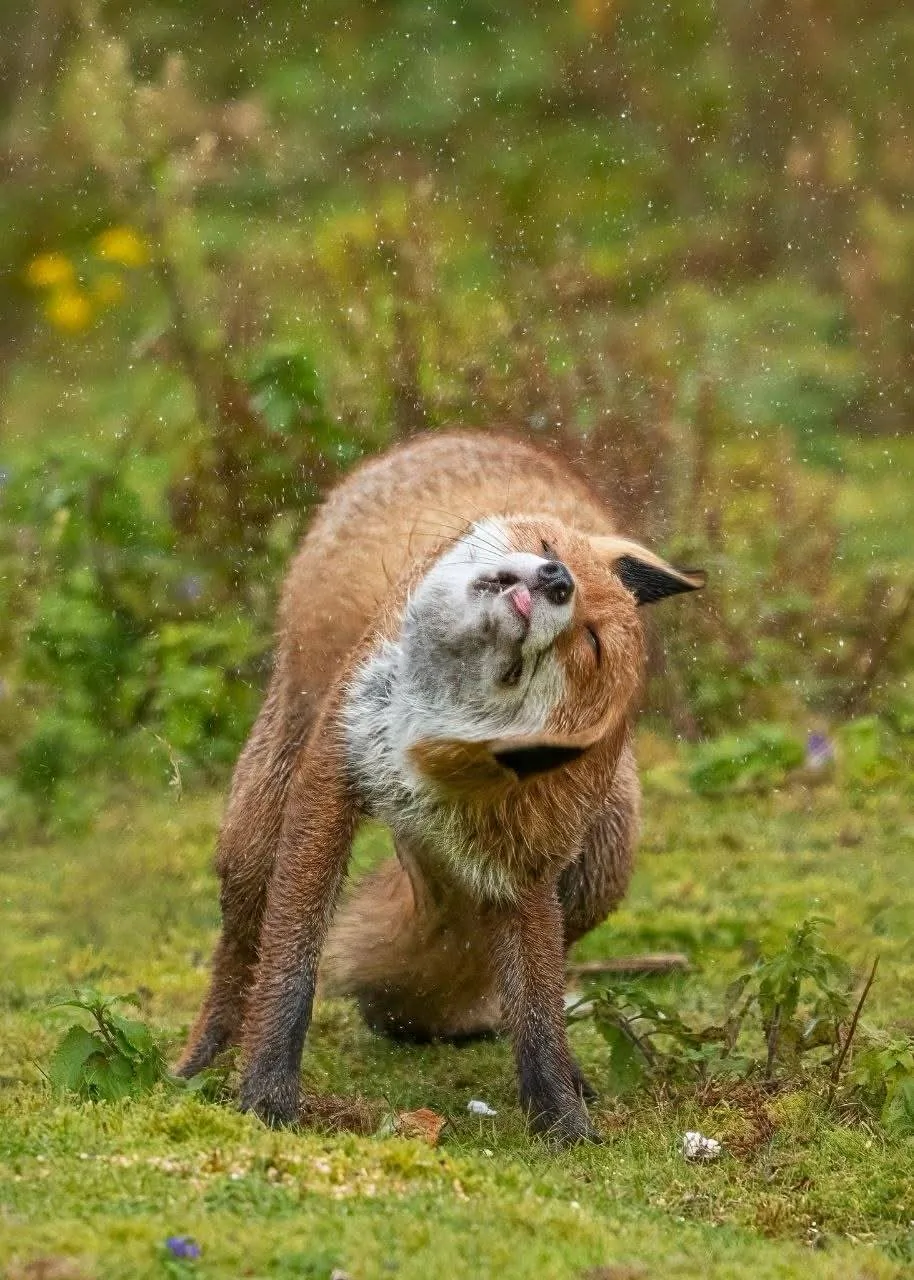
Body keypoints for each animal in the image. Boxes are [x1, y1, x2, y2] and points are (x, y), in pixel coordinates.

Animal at [177, 429, 705, 1144]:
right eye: (550, 548)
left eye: (591, 643)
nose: (555, 578)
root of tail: (459, 437)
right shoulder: (331, 777)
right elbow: (288, 972)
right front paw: (265, 1095)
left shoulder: (528, 868)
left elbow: (538, 1011)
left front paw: (562, 1118)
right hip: (263, 811)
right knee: (241, 952)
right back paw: (202, 1060)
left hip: (602, 867)